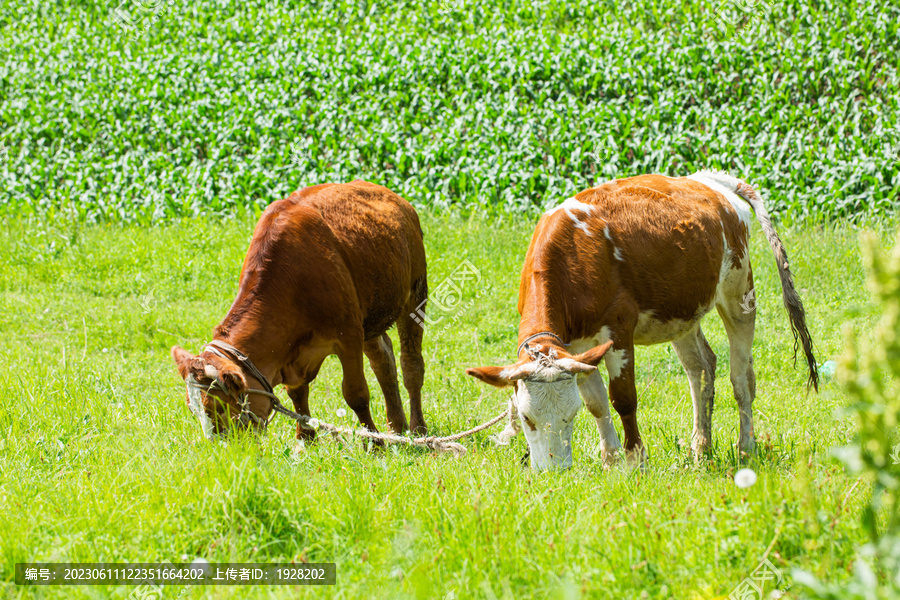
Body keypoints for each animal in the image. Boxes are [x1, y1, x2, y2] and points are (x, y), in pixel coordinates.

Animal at [173, 180, 432, 438]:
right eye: (192, 410)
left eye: (218, 406)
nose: (222, 445)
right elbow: (297, 394)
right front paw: (305, 439)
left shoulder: (348, 337)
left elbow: (356, 394)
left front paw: (373, 441)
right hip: (370, 317)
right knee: (383, 360)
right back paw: (395, 427)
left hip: (415, 296)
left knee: (411, 365)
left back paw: (417, 427)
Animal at [468, 171, 820, 472]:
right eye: (527, 418)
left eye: (570, 416)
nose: (554, 471)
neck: (574, 257)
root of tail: (710, 179)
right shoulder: (579, 347)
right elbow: (598, 403)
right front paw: (610, 460)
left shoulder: (619, 331)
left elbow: (623, 399)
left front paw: (635, 459)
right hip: (683, 312)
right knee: (701, 369)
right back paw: (700, 447)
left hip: (740, 295)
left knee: (740, 377)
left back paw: (746, 446)